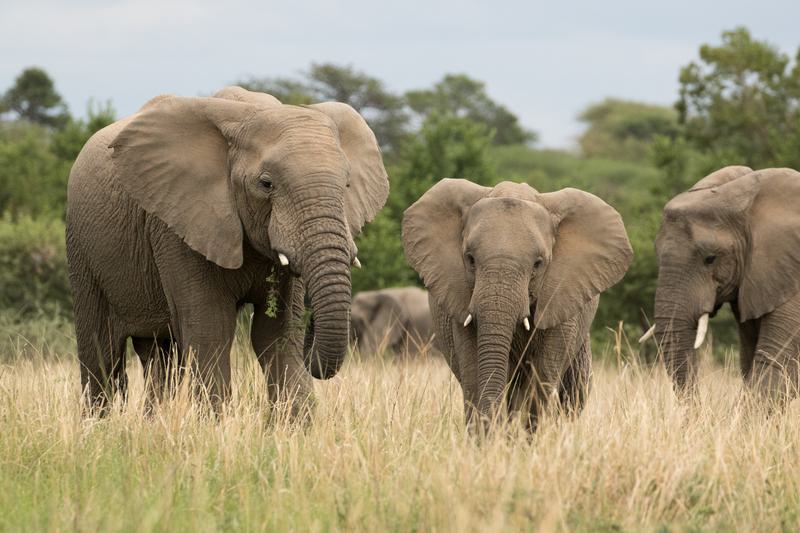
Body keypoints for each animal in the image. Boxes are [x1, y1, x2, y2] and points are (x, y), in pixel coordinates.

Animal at [66, 86, 389, 411]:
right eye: (266, 184)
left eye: (346, 185)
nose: (311, 328)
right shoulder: (178, 226)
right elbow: (212, 328)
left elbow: (277, 335)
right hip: (82, 249)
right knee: (102, 353)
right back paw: (98, 420)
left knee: (160, 356)